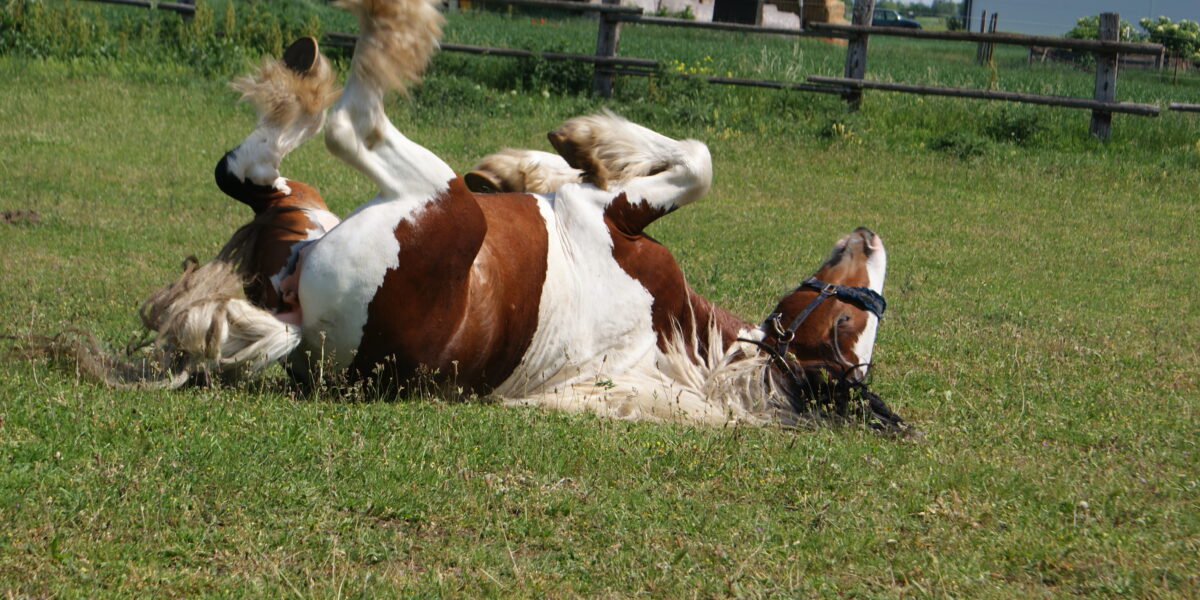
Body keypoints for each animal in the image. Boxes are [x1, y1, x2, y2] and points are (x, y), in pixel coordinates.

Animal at [139, 0, 908, 432]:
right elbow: (643, 165)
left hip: (436, 201)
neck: (680, 337)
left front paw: (580, 138)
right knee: (253, 171)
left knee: (338, 128)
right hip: (308, 212)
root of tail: (295, 323)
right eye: (848, 326)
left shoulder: (619, 216)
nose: (871, 239)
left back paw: (372, 34)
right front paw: (540, 159)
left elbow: (697, 161)